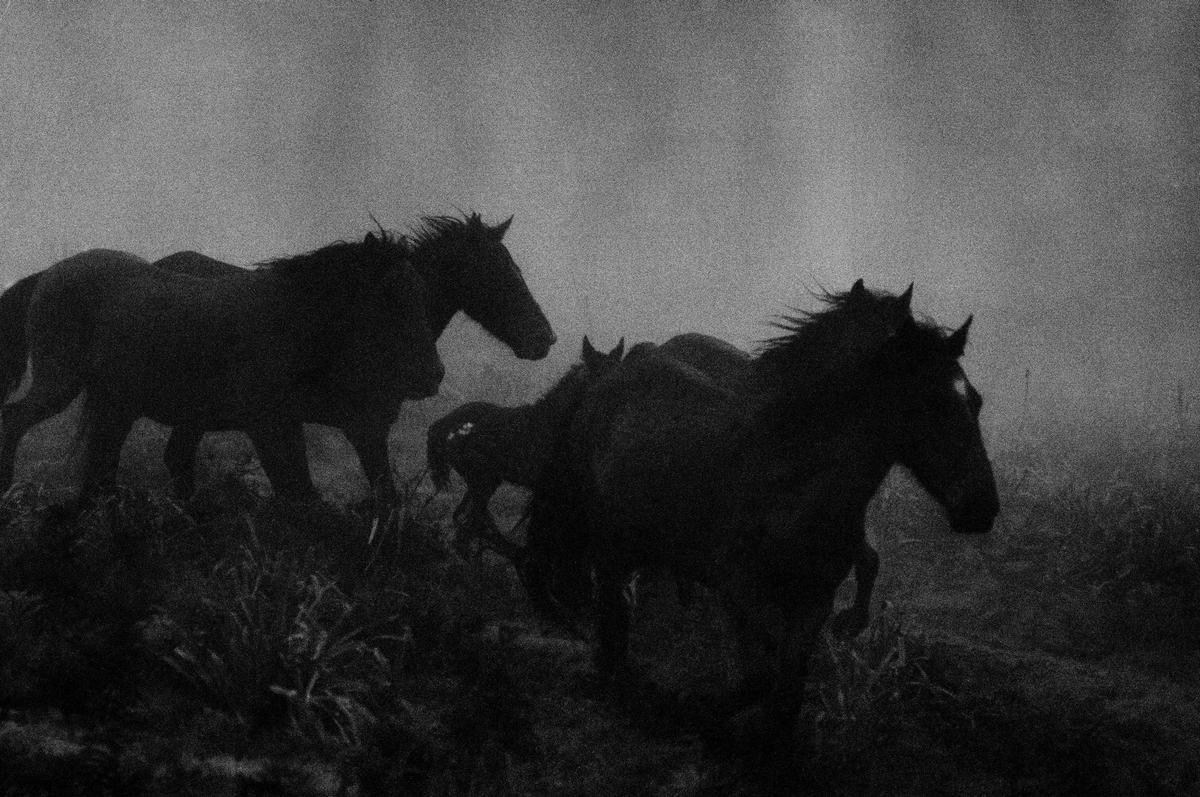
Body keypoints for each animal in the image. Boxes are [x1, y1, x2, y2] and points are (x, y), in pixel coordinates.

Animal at [0, 213, 556, 503]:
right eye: (499, 273)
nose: (544, 339)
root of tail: (52, 272)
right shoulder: (353, 426)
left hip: (133, 403)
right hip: (63, 383)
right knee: (16, 420)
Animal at [426, 336, 625, 558]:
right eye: (602, 378)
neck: (554, 424)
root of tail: (443, 423)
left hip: (485, 482)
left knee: (466, 520)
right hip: (482, 482)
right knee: (470, 524)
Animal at [523, 279, 998, 739]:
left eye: (975, 400)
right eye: (927, 404)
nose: (982, 508)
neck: (792, 484)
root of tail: (614, 374)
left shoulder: (813, 600)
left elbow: (788, 686)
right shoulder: (738, 590)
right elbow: (763, 674)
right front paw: (696, 708)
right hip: (609, 538)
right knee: (609, 602)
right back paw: (613, 671)